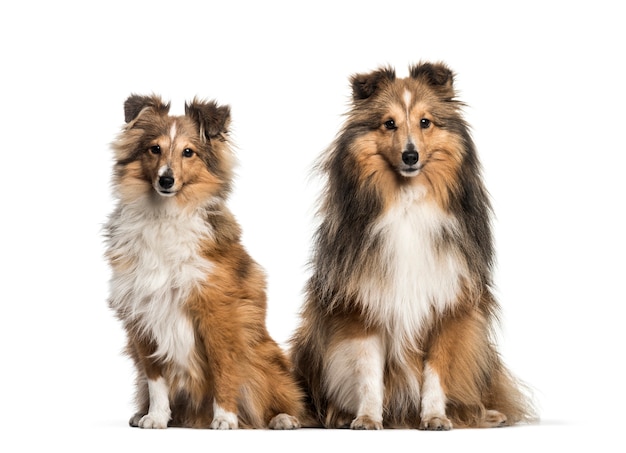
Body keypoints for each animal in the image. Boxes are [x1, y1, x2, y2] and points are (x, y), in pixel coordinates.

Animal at [104, 94, 302, 428]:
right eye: (154, 148)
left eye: (188, 152)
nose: (166, 180)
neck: (165, 215)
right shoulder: (141, 315)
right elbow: (155, 378)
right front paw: (156, 417)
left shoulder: (217, 311)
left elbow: (223, 367)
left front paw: (225, 418)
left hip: (260, 357)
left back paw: (282, 418)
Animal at [290, 61, 532, 430]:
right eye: (389, 123)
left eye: (425, 122)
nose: (410, 155)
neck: (407, 201)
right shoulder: (362, 305)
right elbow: (368, 373)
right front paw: (366, 418)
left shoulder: (449, 308)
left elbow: (436, 373)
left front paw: (435, 417)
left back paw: (486, 413)